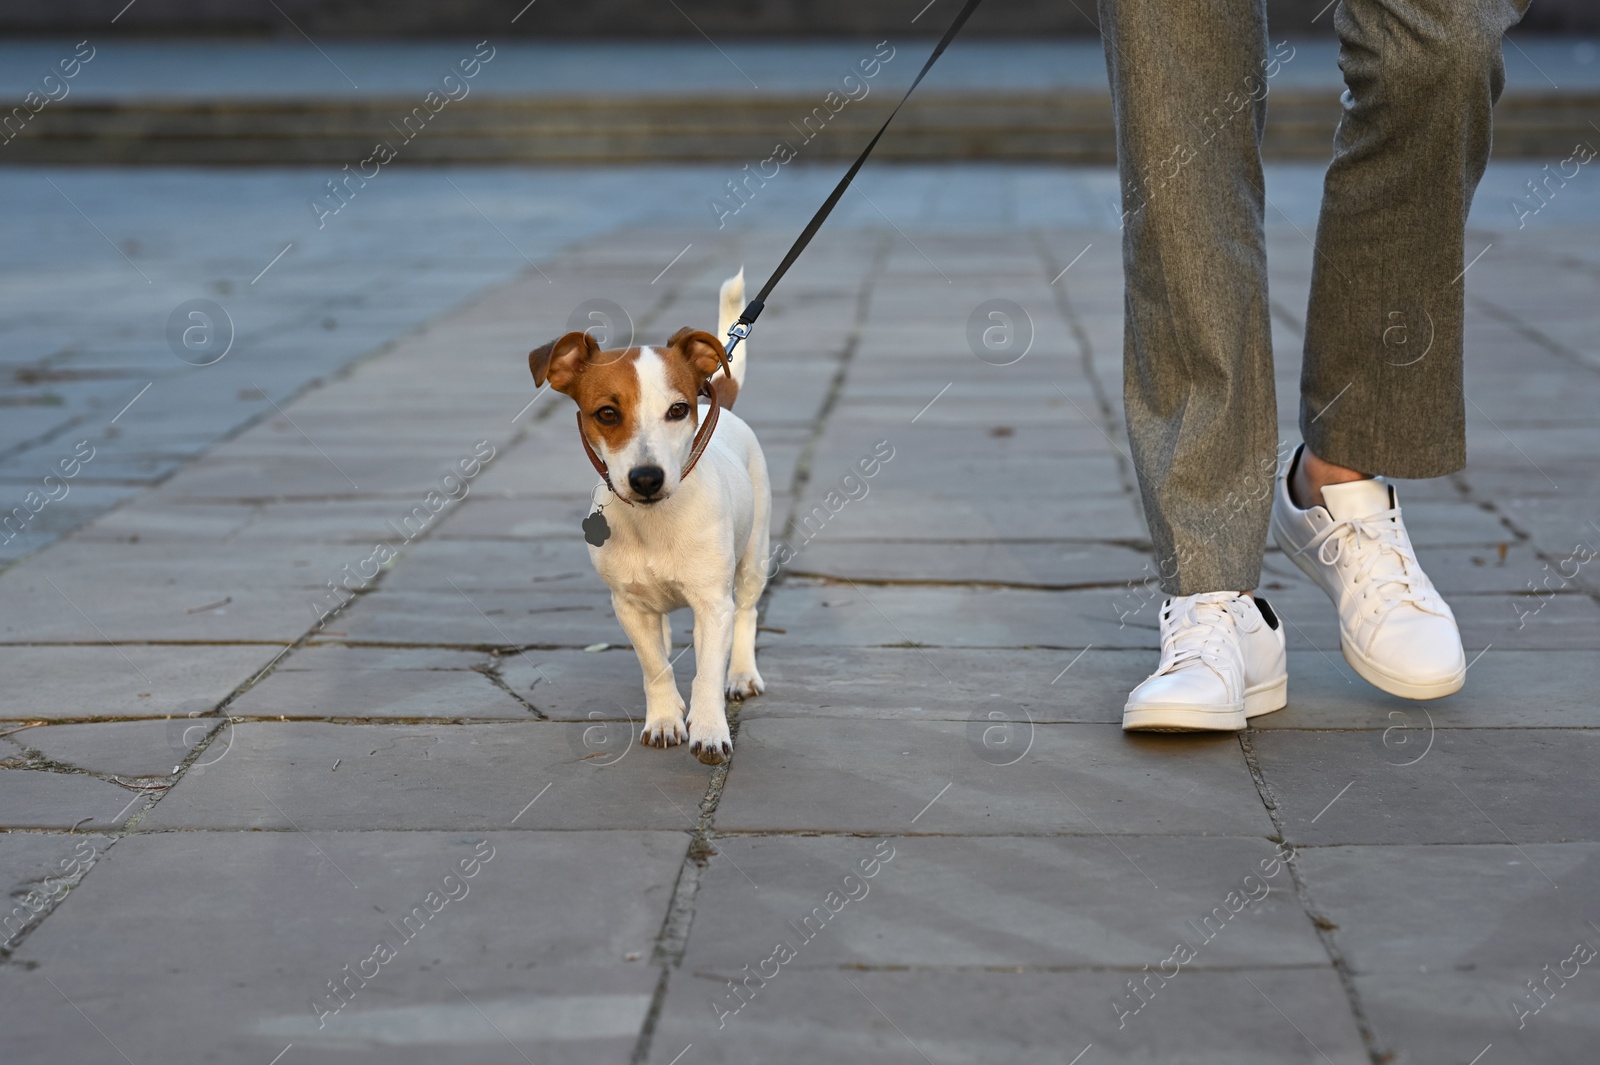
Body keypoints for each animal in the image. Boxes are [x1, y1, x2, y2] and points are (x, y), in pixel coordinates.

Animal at [528, 271, 771, 764]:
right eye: (606, 413)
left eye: (678, 409)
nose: (646, 478)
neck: (654, 521)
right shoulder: (629, 606)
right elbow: (654, 665)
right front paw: (663, 719)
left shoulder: (713, 605)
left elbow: (707, 672)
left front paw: (709, 729)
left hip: (755, 557)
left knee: (747, 614)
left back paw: (741, 675)